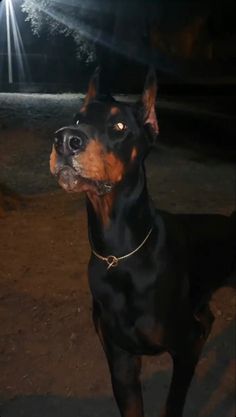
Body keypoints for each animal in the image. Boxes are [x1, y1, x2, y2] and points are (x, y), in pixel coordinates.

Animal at [48, 69, 235, 416]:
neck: (119, 256)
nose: (65, 139)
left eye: (120, 126)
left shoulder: (183, 348)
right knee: (207, 319)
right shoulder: (121, 359)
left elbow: (173, 403)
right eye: (77, 118)